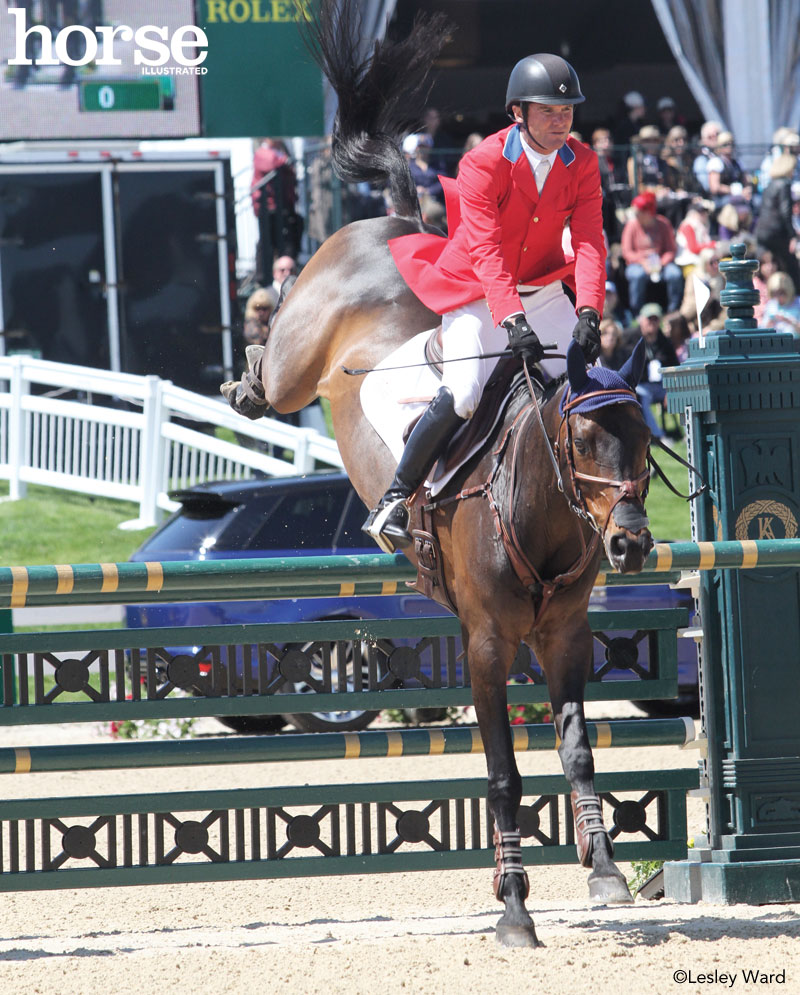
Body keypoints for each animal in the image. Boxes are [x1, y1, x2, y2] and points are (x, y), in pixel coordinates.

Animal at [222, 0, 652, 948]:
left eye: (645, 440)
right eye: (581, 442)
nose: (634, 545)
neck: (540, 510)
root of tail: (398, 228)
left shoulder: (566, 634)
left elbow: (577, 749)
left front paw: (605, 873)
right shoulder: (487, 641)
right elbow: (502, 772)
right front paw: (516, 910)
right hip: (302, 353)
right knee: (271, 366)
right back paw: (242, 382)